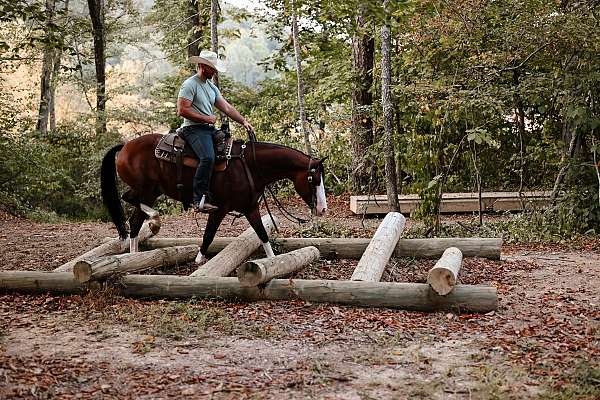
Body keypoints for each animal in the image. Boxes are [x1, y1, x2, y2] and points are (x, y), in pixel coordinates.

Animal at [99, 134, 328, 264]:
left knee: (135, 222)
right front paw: (199, 259)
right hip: (146, 189)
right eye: (314, 180)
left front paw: (273, 262)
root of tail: (125, 145)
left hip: (152, 191)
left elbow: (262, 234)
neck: (249, 165)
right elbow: (209, 234)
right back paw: (154, 222)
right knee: (129, 200)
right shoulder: (219, 208)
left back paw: (134, 256)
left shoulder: (250, 208)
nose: (323, 209)